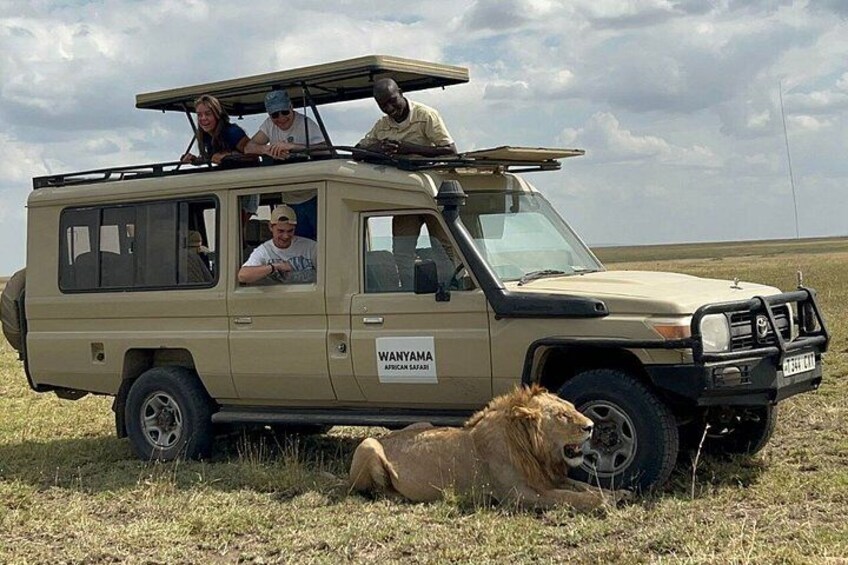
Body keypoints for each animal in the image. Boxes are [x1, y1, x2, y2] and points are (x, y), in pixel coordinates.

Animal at [348, 385, 629, 511]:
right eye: (562, 416)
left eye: (571, 407)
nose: (592, 426)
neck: (533, 451)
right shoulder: (517, 495)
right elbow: (568, 497)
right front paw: (603, 502)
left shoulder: (547, 478)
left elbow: (581, 485)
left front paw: (618, 493)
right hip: (368, 446)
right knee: (370, 491)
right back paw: (398, 496)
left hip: (423, 424)